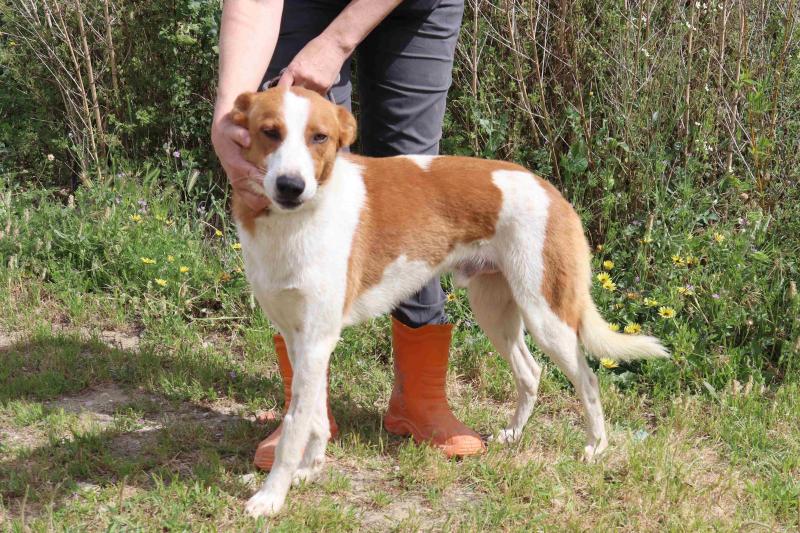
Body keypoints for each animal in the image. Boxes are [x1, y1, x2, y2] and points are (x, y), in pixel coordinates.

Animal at [229, 87, 669, 517]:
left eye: (319, 137)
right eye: (270, 132)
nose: (290, 186)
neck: (296, 221)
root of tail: (549, 190)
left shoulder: (318, 338)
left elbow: (295, 425)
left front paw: (272, 496)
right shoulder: (298, 338)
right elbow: (316, 417)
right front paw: (310, 469)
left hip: (546, 315)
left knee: (588, 379)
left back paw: (596, 446)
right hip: (495, 312)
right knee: (531, 372)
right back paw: (513, 434)